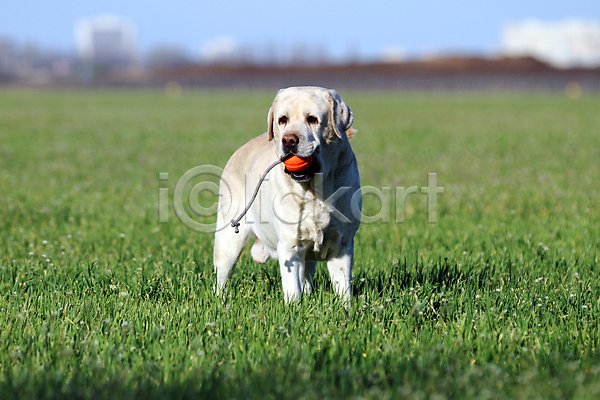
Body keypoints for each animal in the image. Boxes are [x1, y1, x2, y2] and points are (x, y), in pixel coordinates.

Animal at [213, 85, 360, 304]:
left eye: (312, 119)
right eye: (283, 119)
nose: (289, 140)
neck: (314, 191)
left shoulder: (342, 246)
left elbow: (343, 289)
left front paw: (346, 309)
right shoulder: (290, 247)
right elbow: (293, 289)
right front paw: (294, 308)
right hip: (228, 241)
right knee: (222, 278)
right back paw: (221, 302)